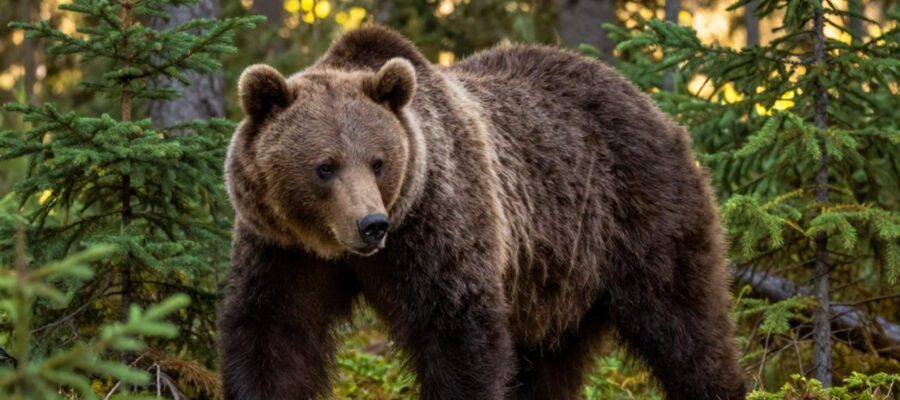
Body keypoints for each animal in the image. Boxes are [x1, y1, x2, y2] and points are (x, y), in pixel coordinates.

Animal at [218, 25, 746, 400]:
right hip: (556, 281)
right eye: (325, 166)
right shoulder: (283, 248)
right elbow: (273, 336)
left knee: (685, 325)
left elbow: (460, 334)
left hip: (641, 215)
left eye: (378, 162)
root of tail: (657, 109)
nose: (371, 225)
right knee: (546, 367)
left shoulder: (438, 223)